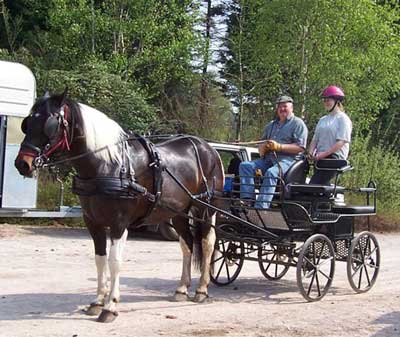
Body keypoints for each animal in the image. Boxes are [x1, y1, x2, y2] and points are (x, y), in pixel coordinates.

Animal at [14, 88, 225, 320]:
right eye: (27, 123)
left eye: (50, 124)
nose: (22, 164)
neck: (108, 166)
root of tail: (208, 148)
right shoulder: (93, 222)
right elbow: (100, 259)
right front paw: (97, 301)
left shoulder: (119, 223)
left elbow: (115, 261)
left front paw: (110, 306)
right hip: (178, 212)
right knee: (186, 244)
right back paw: (181, 289)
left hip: (206, 208)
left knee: (207, 243)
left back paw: (202, 290)